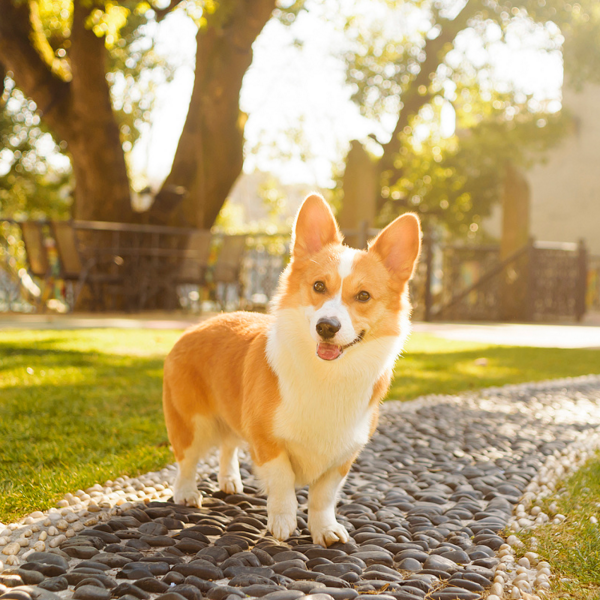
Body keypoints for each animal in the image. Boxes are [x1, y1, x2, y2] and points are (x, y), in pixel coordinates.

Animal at [162, 195, 420, 548]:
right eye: (319, 286)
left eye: (364, 295)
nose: (327, 326)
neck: (328, 376)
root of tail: (199, 325)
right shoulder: (267, 441)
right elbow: (283, 482)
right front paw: (283, 524)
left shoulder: (342, 457)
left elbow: (323, 497)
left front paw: (324, 530)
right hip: (192, 422)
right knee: (187, 459)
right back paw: (187, 493)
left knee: (228, 445)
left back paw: (230, 480)